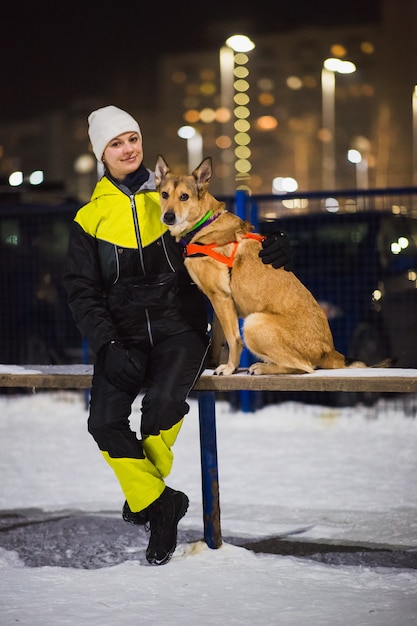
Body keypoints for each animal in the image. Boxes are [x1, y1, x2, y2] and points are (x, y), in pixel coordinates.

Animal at [155, 155, 370, 376]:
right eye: (164, 194)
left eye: (184, 197)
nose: (168, 216)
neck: (204, 223)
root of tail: (330, 352)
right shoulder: (220, 301)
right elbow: (218, 338)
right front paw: (213, 363)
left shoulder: (220, 297)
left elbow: (233, 339)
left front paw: (229, 368)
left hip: (254, 322)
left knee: (304, 367)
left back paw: (262, 367)